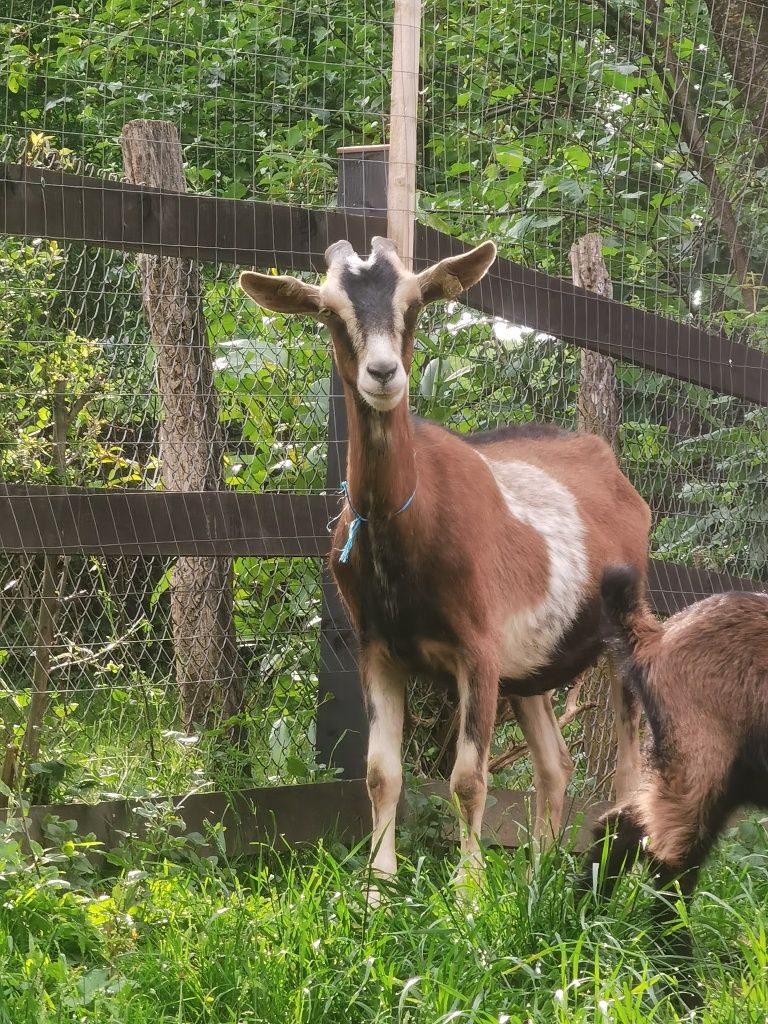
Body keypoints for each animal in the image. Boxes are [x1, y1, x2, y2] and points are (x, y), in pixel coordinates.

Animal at [239, 239, 651, 888]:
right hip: (526, 665)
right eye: (330, 311)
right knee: (554, 763)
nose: (384, 373)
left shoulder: (476, 650)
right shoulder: (378, 650)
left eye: (415, 304)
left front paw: (469, 892)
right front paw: (378, 887)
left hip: (623, 626)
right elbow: (380, 773)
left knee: (631, 770)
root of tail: (609, 465)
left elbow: (467, 778)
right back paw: (538, 880)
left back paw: (622, 884)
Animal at [581, 569, 768, 958]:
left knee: (621, 826)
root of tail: (659, 637)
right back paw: (676, 968)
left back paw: (583, 918)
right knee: (673, 862)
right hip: (702, 758)